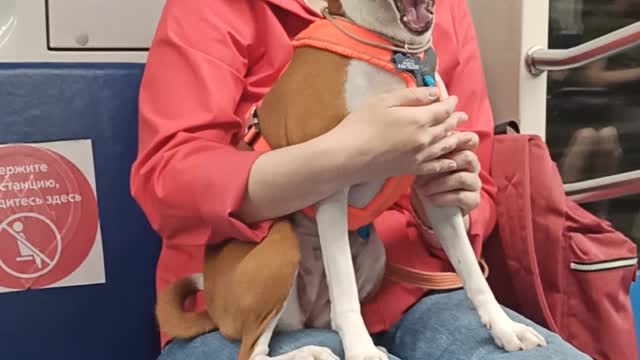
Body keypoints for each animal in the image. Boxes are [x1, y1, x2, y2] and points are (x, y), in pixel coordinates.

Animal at [155, 0, 544, 360]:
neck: (397, 53)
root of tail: (214, 307)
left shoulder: (439, 183)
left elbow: (473, 274)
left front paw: (505, 328)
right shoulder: (332, 184)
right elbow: (345, 295)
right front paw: (361, 351)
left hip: (374, 255)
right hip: (282, 244)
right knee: (252, 352)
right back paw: (311, 352)